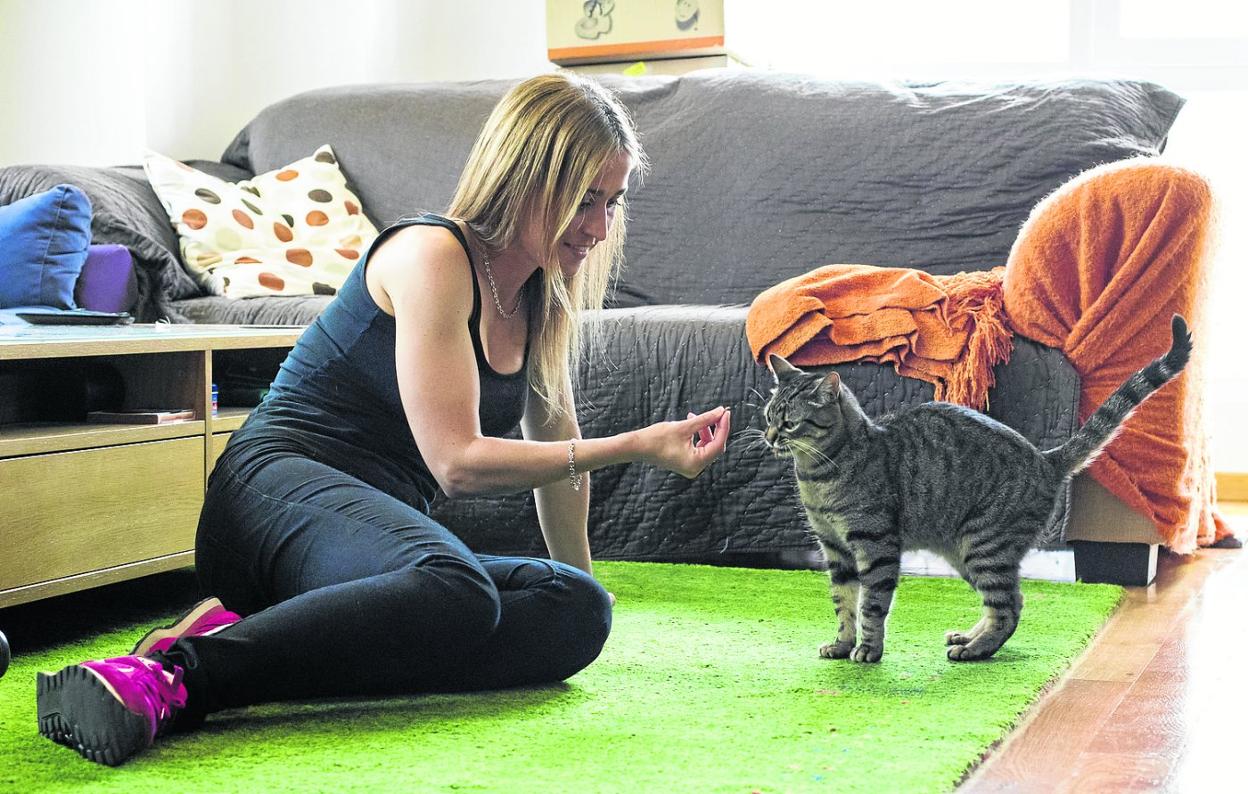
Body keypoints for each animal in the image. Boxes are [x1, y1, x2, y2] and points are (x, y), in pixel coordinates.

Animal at [758, 313, 1188, 659]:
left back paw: (976, 650)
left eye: (790, 423)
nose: (768, 436)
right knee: (1008, 601)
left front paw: (867, 649)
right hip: (965, 552)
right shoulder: (834, 548)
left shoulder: (875, 545)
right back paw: (967, 638)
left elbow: (871, 605)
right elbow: (843, 602)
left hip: (985, 544)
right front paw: (842, 644)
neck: (818, 475)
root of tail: (1045, 458)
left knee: (1007, 607)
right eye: (767, 415)